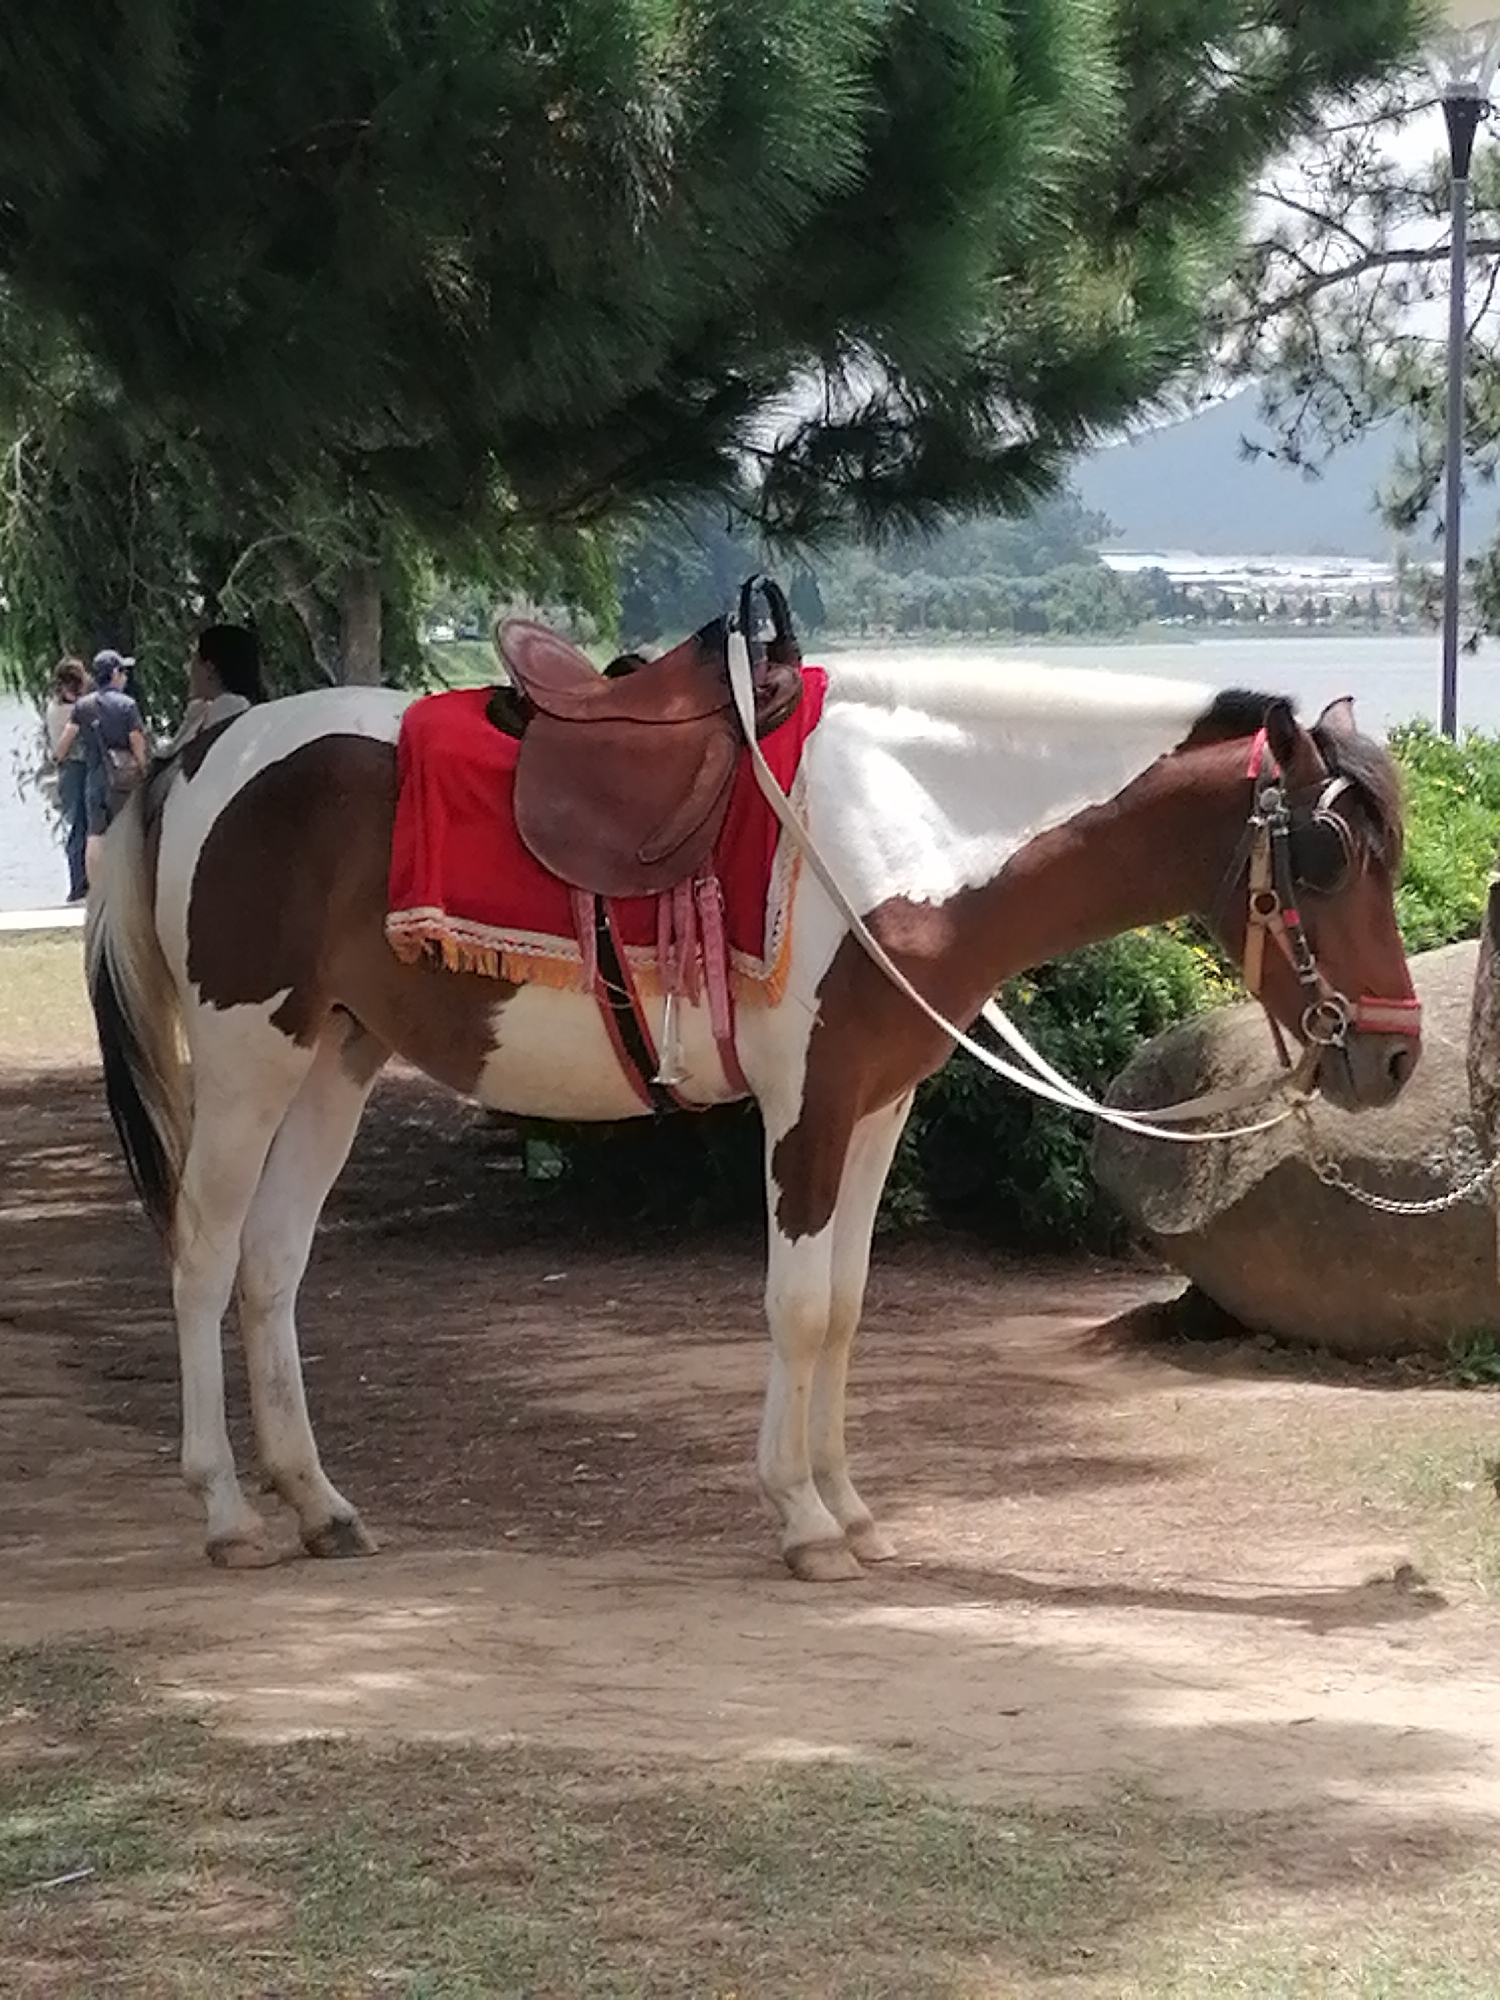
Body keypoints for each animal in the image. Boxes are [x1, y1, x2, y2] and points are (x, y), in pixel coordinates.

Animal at [86, 637, 1419, 1580]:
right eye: (1325, 860)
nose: (1397, 1056)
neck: (907, 826)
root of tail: (199, 756)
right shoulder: (810, 1107)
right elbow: (798, 1304)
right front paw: (802, 1518)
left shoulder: (877, 1106)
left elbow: (846, 1306)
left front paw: (851, 1507)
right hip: (248, 1053)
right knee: (203, 1256)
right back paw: (226, 1508)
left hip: (335, 1058)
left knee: (271, 1264)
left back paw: (318, 1501)